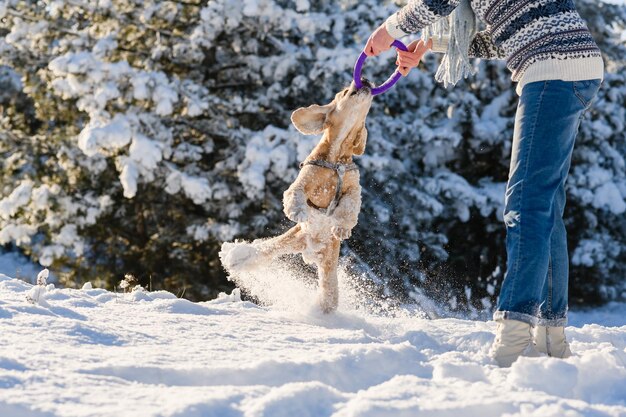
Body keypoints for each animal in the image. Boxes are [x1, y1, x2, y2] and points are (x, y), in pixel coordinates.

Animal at [221, 79, 372, 310]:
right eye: (347, 91)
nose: (365, 81)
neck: (337, 159)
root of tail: (311, 250)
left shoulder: (354, 189)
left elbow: (349, 207)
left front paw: (341, 228)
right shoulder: (304, 181)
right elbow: (296, 194)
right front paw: (298, 211)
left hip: (328, 265)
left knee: (327, 293)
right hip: (293, 238)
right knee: (264, 250)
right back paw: (237, 256)